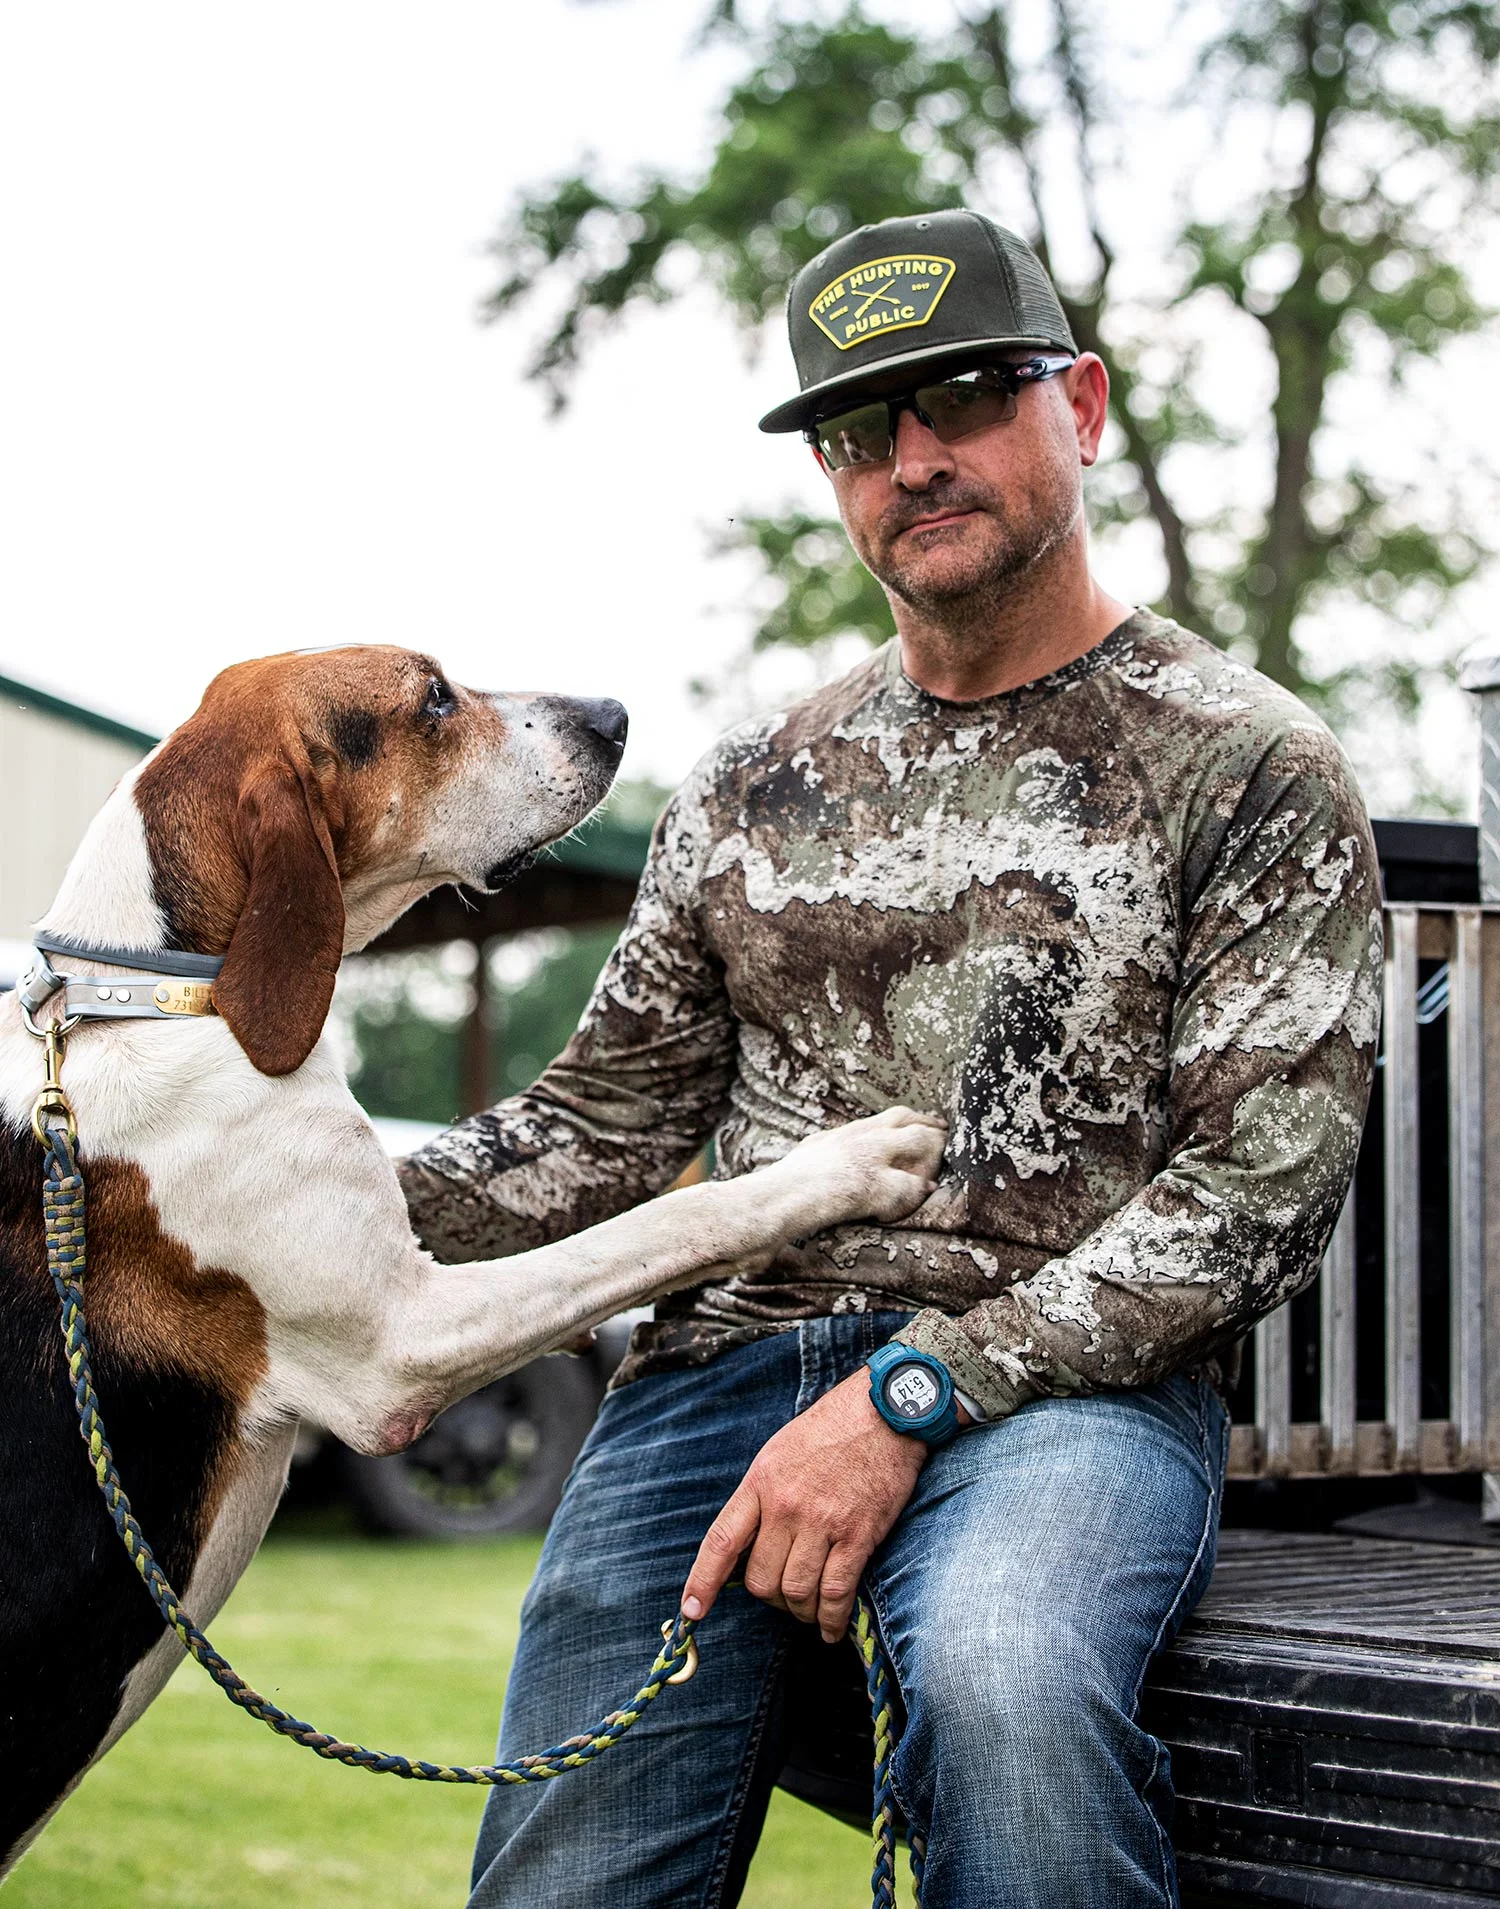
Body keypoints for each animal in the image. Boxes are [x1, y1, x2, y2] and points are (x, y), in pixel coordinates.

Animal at [0, 649, 942, 1870]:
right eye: (434, 698)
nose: (613, 715)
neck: (163, 994)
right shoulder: (402, 1344)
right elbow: (667, 1221)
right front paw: (855, 1159)